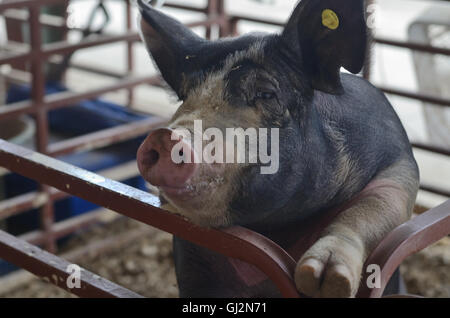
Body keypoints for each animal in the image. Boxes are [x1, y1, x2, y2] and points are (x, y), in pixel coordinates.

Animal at [135, 0, 420, 298]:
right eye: (185, 95)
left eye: (266, 93)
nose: (166, 136)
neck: (278, 227)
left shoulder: (399, 168)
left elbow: (370, 210)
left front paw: (323, 281)